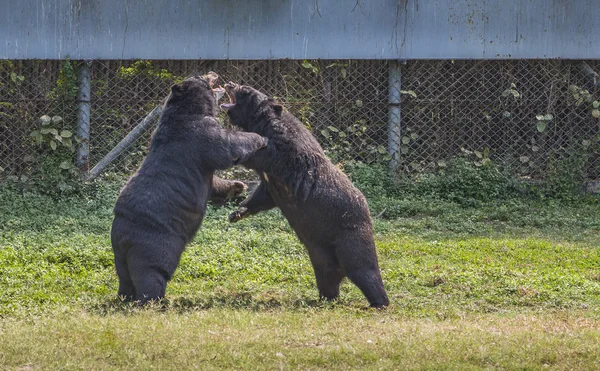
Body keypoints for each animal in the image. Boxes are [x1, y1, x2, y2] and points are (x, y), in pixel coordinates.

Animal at [109, 73, 268, 306]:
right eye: (200, 76)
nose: (213, 73)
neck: (189, 111)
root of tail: (122, 237)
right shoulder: (199, 134)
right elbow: (225, 146)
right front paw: (260, 137)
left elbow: (213, 181)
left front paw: (237, 187)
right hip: (155, 243)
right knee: (151, 273)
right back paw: (153, 301)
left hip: (120, 256)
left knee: (124, 277)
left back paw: (125, 296)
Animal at [220, 83, 390, 310]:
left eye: (245, 90)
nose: (230, 83)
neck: (264, 125)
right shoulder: (273, 180)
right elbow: (264, 195)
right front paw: (237, 212)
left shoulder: (286, 152)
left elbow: (265, 154)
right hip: (321, 253)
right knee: (328, 276)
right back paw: (327, 297)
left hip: (348, 233)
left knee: (363, 268)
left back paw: (379, 302)